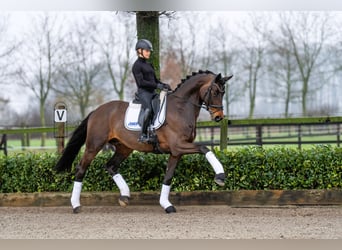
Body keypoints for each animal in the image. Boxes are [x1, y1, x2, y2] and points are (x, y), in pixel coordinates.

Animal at [54, 70, 234, 213]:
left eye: (224, 92)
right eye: (215, 91)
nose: (219, 117)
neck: (181, 108)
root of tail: (96, 111)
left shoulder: (176, 152)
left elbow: (168, 177)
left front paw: (166, 205)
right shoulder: (179, 146)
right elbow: (204, 148)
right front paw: (220, 176)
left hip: (124, 148)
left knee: (110, 166)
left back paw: (125, 196)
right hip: (94, 145)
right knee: (81, 169)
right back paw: (76, 205)